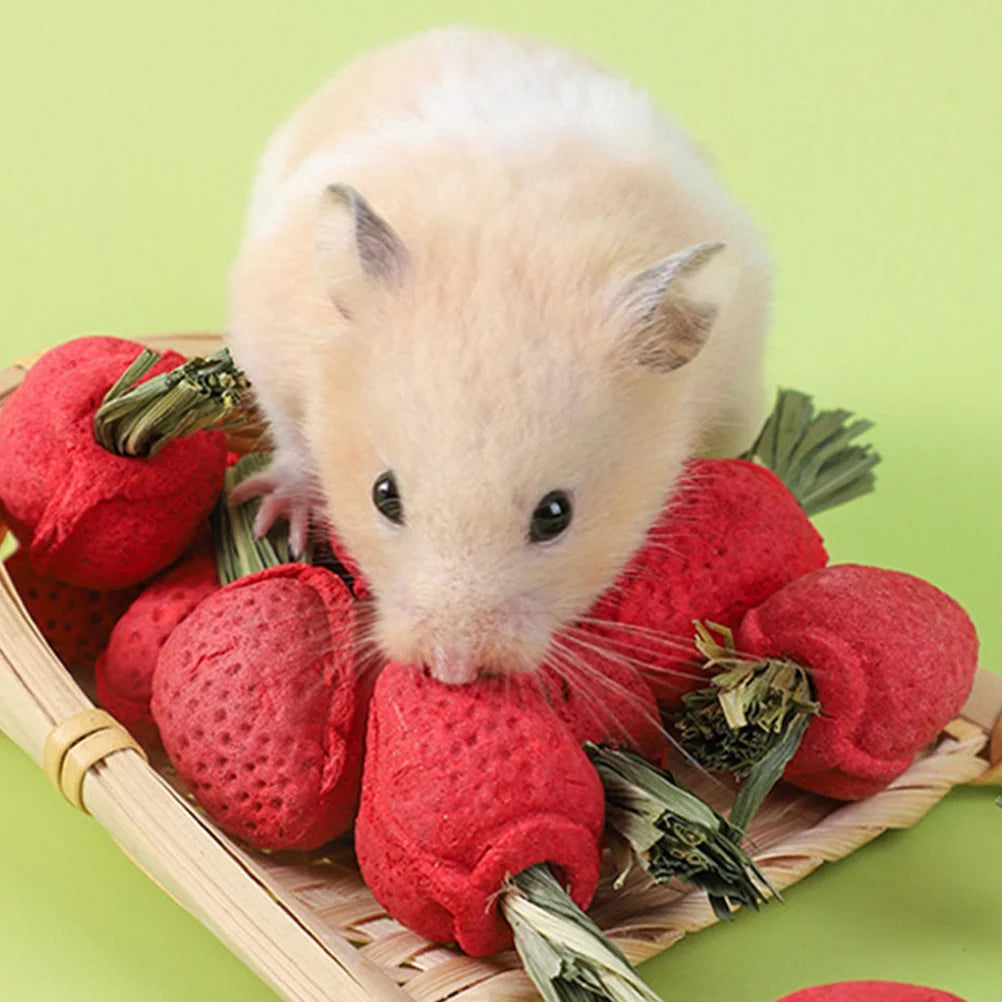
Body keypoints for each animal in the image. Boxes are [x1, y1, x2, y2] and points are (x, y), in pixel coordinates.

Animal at [226, 26, 772, 685]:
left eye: (555, 514)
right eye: (385, 495)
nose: (452, 669)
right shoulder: (269, 353)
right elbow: (292, 439)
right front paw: (272, 517)